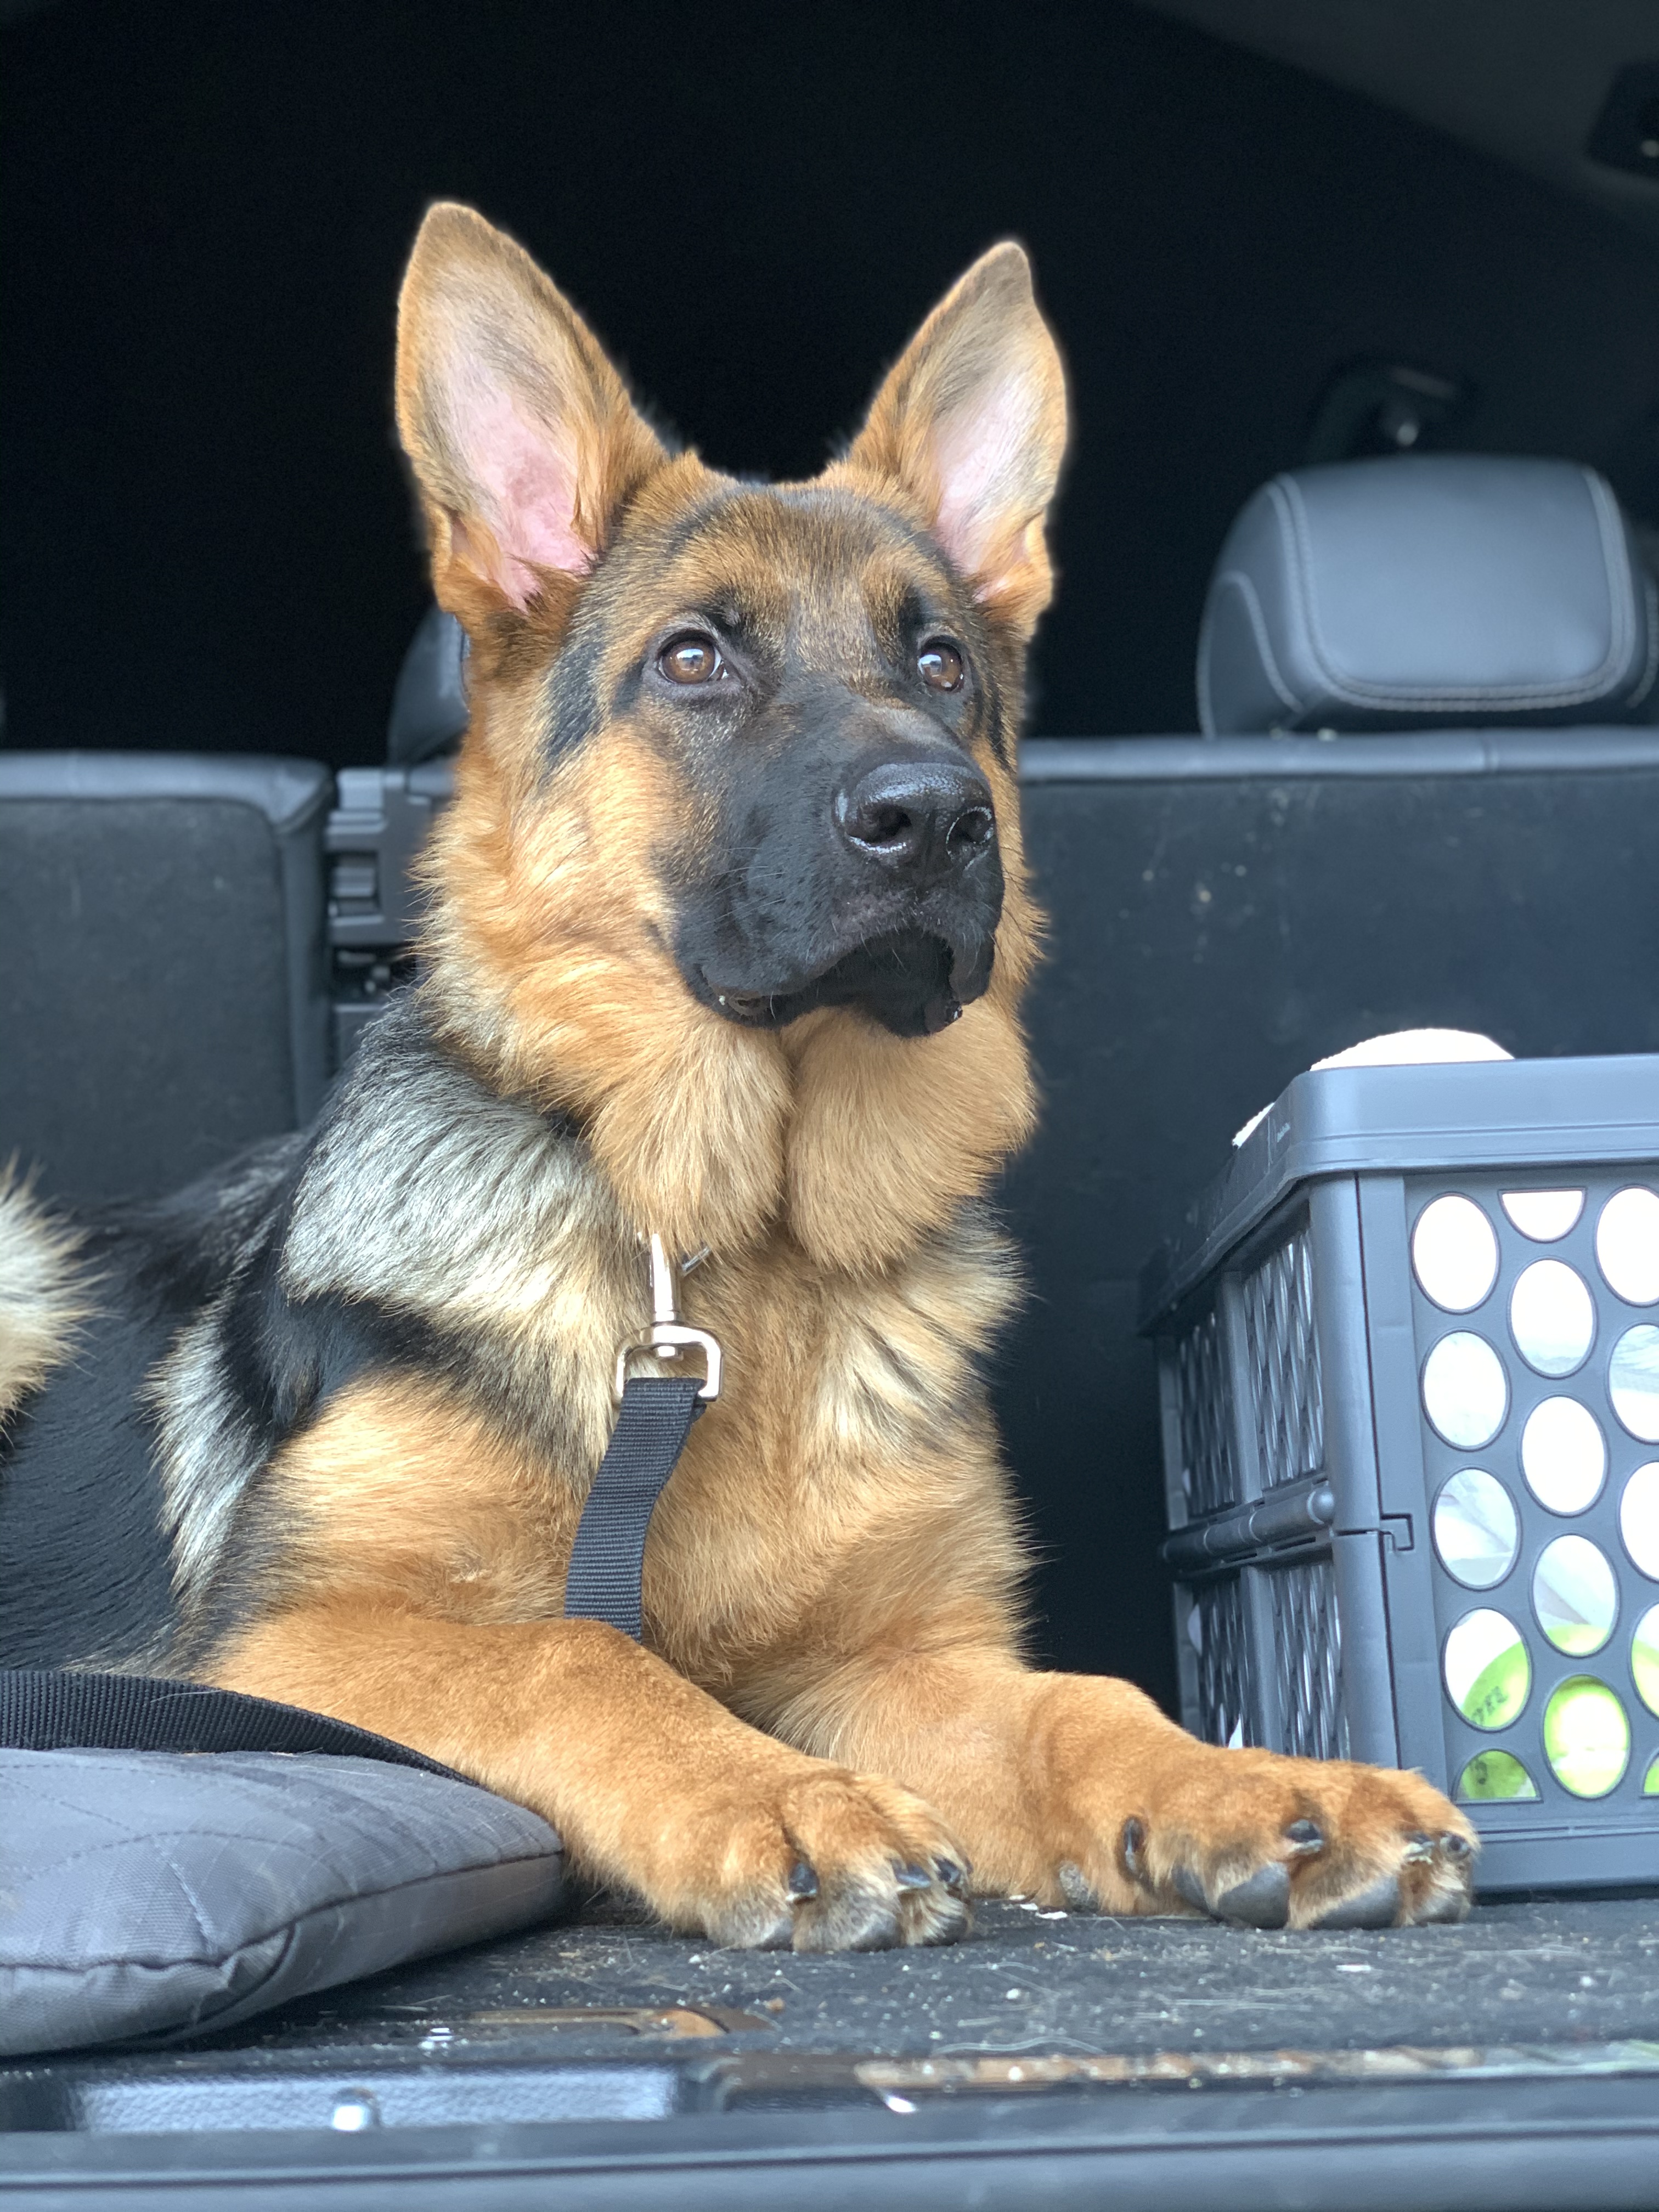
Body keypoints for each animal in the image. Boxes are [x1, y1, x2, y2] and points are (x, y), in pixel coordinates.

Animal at [3, 203, 1477, 1938]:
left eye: (943, 667)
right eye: (695, 658)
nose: (937, 818)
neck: (737, 1242)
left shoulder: (889, 1659)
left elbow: (1083, 1703)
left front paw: (1254, 1786)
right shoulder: (283, 1643)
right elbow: (575, 1659)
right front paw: (775, 1796)